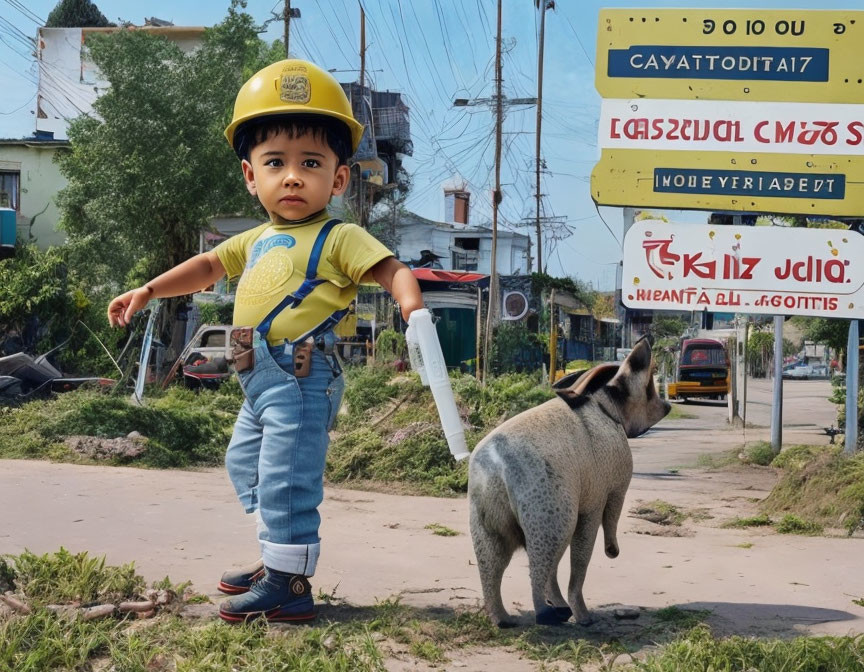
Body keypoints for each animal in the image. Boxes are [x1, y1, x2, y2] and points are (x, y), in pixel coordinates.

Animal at [470, 338, 672, 628]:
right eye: (649, 389)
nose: (668, 406)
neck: (605, 405)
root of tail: (498, 469)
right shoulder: (610, 485)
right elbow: (604, 521)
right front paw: (611, 552)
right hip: (549, 508)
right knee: (547, 558)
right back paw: (554, 615)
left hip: (487, 515)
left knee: (493, 564)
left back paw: (505, 619)